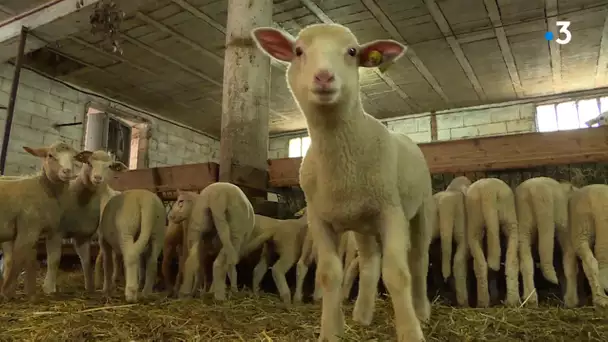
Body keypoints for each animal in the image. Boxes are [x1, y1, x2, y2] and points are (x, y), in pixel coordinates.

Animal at [0, 140, 79, 298]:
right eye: (50, 155)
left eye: (74, 156)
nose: (67, 171)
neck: (43, 188)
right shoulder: (27, 228)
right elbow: (17, 260)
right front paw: (6, 292)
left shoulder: (47, 231)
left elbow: (46, 259)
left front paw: (40, 291)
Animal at [253, 22, 436, 340]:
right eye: (298, 51)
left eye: (352, 51)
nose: (324, 77)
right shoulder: (320, 219)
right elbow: (329, 274)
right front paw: (331, 330)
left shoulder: (391, 211)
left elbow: (398, 273)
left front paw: (410, 332)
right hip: (363, 224)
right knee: (370, 262)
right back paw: (362, 315)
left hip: (420, 208)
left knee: (418, 259)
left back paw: (422, 311)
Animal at [466, 178, 516, 308]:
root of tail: (487, 191)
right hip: (510, 222)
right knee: (511, 261)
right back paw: (513, 301)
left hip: (474, 223)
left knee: (481, 265)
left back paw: (483, 302)